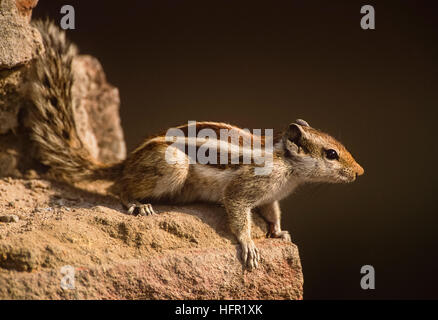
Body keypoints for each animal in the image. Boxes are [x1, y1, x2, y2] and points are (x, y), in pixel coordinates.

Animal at [24, 20, 366, 270]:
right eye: (331, 154)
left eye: (337, 146)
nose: (360, 172)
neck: (288, 166)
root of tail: (126, 161)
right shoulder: (247, 186)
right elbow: (237, 210)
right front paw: (249, 245)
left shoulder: (271, 196)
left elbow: (273, 212)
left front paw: (279, 231)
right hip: (173, 164)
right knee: (117, 187)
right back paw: (137, 204)